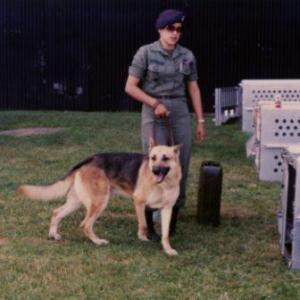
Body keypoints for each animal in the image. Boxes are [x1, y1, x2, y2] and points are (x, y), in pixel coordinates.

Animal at [18, 140, 180, 255]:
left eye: (165, 158)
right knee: (85, 225)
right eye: (153, 158)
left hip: (76, 203)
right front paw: (142, 237)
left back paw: (53, 234)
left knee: (57, 212)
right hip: (100, 203)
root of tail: (88, 159)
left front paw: (168, 249)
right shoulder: (139, 201)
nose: (155, 170)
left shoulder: (167, 209)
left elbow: (165, 234)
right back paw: (98, 242)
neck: (164, 184)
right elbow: (144, 224)